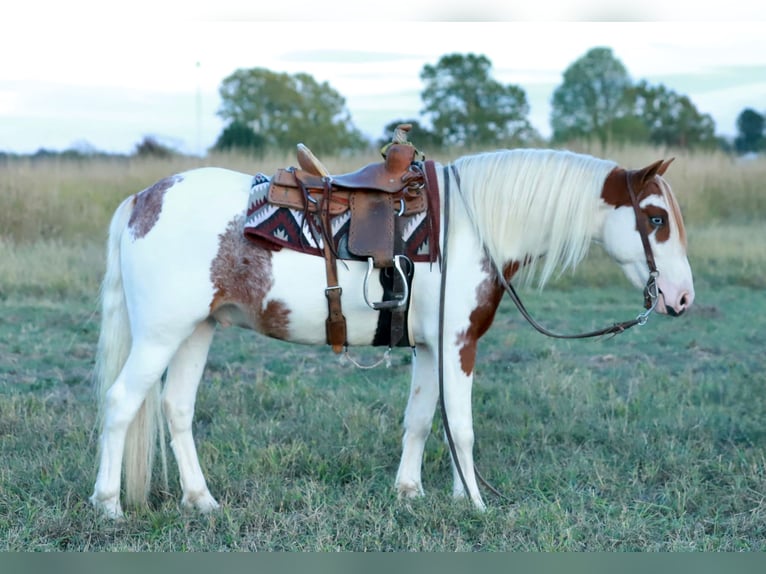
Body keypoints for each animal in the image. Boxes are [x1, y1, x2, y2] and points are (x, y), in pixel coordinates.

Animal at [89, 148, 694, 519]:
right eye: (656, 219)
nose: (682, 297)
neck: (471, 226)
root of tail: (143, 199)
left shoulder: (429, 348)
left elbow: (421, 422)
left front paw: (411, 493)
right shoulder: (457, 345)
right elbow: (462, 428)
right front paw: (475, 503)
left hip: (197, 329)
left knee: (175, 409)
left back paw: (201, 501)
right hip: (162, 334)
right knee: (121, 402)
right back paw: (109, 505)